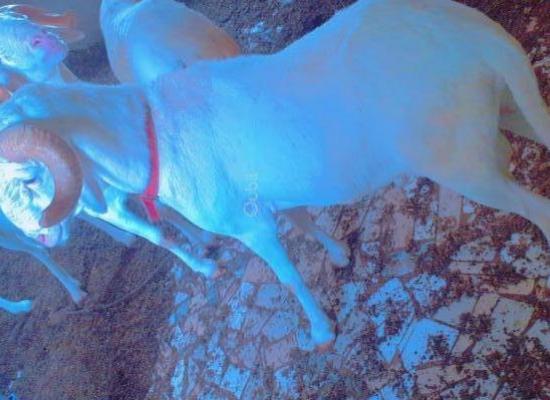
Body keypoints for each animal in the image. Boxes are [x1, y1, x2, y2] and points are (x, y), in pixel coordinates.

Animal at [0, 0, 548, 345]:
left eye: (22, 178)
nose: (39, 237)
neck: (153, 134)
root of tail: (472, 35)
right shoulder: (270, 196)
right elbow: (303, 220)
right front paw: (339, 255)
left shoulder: (248, 225)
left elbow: (286, 276)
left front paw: (321, 333)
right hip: (506, 108)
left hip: (461, 160)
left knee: (534, 206)